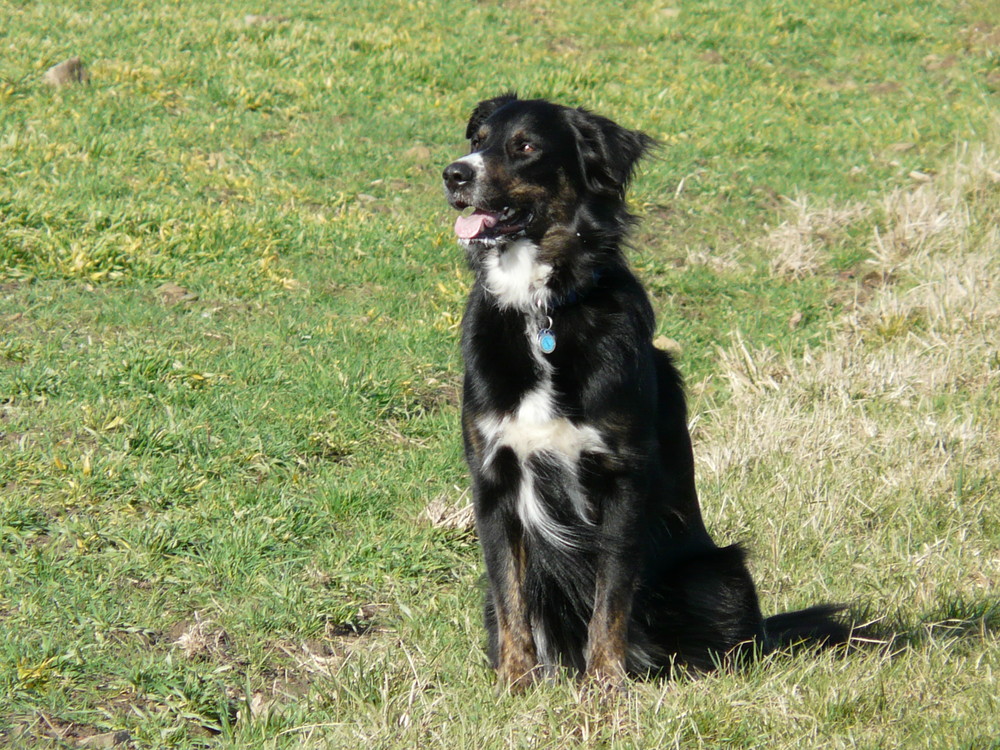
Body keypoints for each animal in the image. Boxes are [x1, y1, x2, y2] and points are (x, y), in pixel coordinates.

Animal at [444, 91, 844, 692]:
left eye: (526, 147)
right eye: (478, 140)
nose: (453, 174)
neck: (543, 310)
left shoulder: (623, 476)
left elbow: (611, 594)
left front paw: (604, 684)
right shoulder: (494, 477)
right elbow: (511, 597)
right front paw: (515, 684)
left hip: (718, 573)